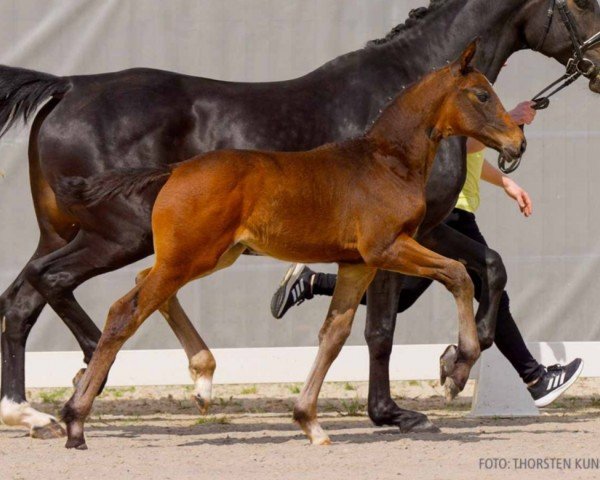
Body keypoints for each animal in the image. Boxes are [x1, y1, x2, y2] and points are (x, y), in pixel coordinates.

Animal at [58, 43, 524, 448]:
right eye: (482, 94)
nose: (517, 142)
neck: (387, 162)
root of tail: (175, 169)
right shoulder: (388, 248)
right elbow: (458, 274)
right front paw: (457, 369)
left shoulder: (357, 263)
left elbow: (334, 334)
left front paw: (309, 422)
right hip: (189, 257)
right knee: (125, 311)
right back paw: (76, 421)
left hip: (208, 256)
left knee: (145, 285)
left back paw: (202, 380)